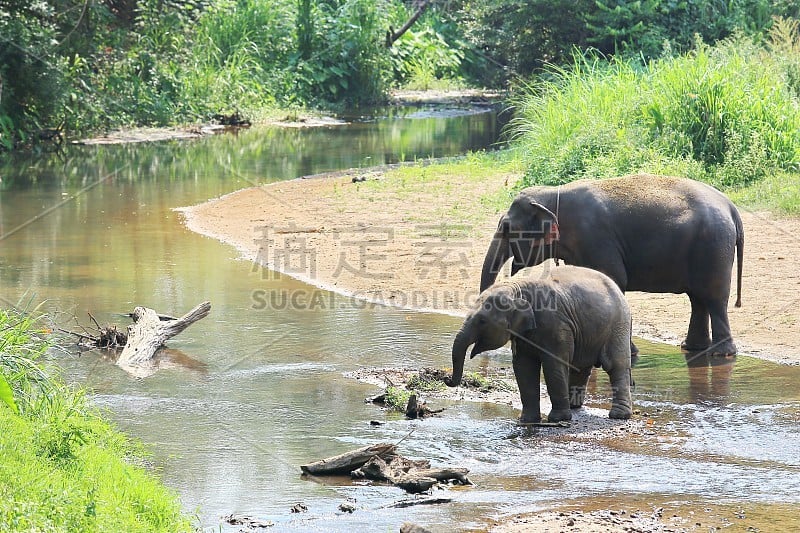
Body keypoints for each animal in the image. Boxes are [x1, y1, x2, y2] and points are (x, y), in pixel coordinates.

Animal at [450, 264, 632, 422]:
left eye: (482, 321)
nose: (447, 380)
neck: (517, 289)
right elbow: (524, 367)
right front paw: (526, 420)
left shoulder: (556, 325)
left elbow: (553, 365)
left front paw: (558, 419)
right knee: (580, 368)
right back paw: (573, 405)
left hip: (619, 325)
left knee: (616, 365)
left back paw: (619, 415)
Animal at [482, 175, 744, 358]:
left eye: (507, 228)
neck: (554, 193)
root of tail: (731, 207)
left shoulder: (596, 238)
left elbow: (615, 278)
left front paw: (629, 354)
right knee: (698, 299)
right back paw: (692, 348)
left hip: (714, 246)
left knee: (714, 297)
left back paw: (720, 354)